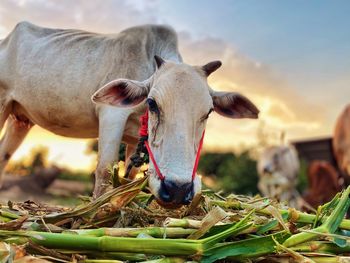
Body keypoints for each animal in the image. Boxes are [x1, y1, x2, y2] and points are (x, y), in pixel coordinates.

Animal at [0, 22, 260, 206]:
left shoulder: (136, 140)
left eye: (208, 112)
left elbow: (127, 178)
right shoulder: (112, 114)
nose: (177, 190)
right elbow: (104, 171)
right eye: (152, 103)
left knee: (4, 156)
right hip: (2, 103)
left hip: (20, 120)